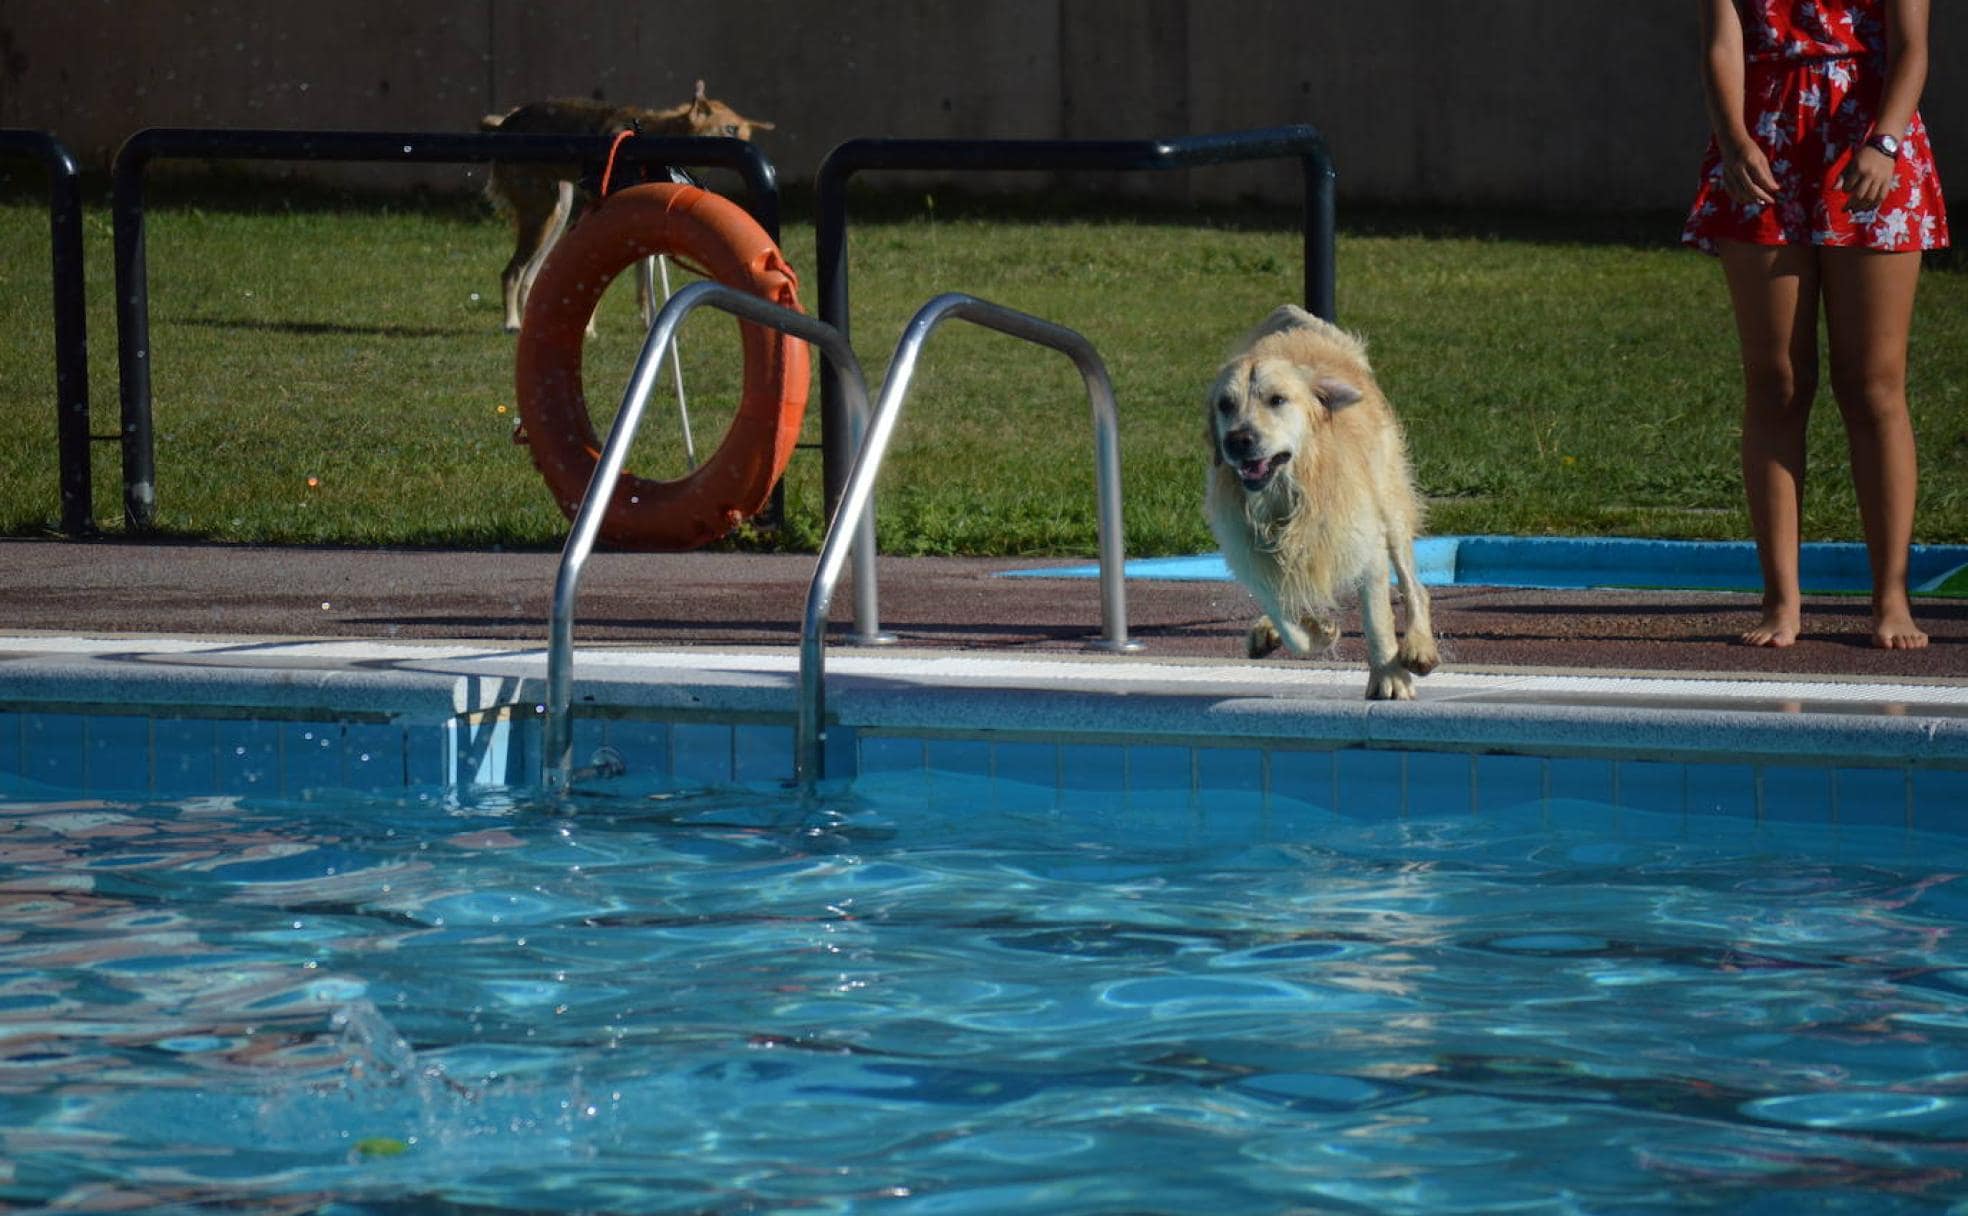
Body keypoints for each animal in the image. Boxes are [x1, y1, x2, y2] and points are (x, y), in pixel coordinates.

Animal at [480, 82, 771, 330]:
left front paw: (648, 323)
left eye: (744, 131)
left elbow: (643, 286)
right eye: (730, 129)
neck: (661, 137)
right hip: (541, 216)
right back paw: (512, 324)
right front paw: (589, 328)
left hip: (558, 214)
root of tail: (505, 124)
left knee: (530, 276)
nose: (748, 148)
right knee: (511, 273)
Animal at [1204, 304, 1440, 700]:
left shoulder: (1366, 544)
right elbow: (1287, 619)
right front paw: (1317, 631)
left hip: (1390, 502)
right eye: (1225, 405)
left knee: (1413, 585)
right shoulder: (1248, 553)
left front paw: (1388, 676)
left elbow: (1377, 619)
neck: (1289, 493)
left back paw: (1420, 645)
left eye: (1277, 400)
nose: (1238, 440)